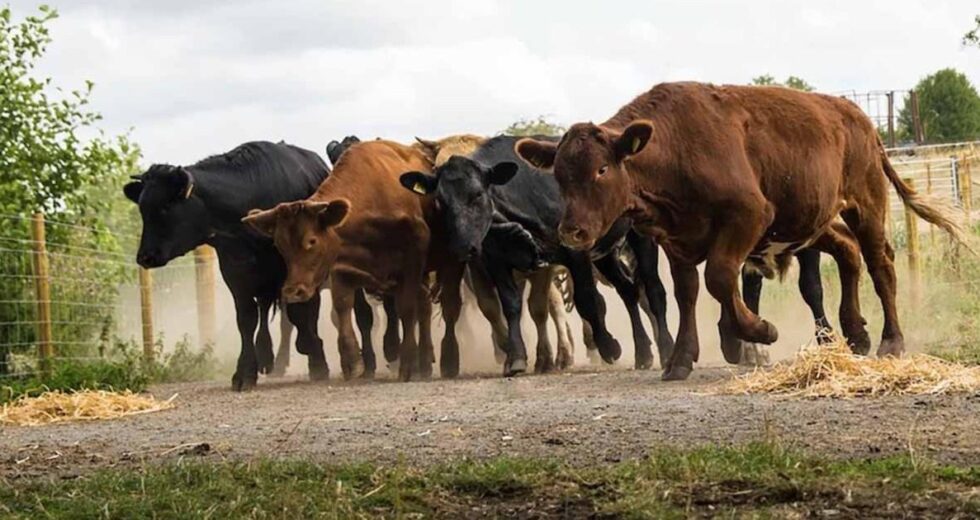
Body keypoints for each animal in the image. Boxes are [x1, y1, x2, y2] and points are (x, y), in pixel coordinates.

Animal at [124, 141, 330, 391]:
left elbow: (302, 314)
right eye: (142, 209)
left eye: (166, 206)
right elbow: (246, 320)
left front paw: (316, 358)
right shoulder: (235, 273)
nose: (145, 256)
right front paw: (245, 372)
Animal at [243, 139, 466, 381]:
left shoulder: (413, 258)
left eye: (312, 241)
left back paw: (446, 361)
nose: (293, 291)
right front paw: (352, 362)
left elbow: (406, 309)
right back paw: (424, 361)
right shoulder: (343, 265)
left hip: (450, 264)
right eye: (280, 245)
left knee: (448, 306)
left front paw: (407, 364)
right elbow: (343, 307)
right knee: (424, 304)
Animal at [400, 134, 675, 375]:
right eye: (440, 200)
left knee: (652, 290)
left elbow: (586, 300)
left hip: (640, 239)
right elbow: (510, 305)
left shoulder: (570, 256)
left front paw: (608, 346)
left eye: (478, 194)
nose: (463, 247)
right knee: (628, 290)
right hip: (605, 255)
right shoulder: (496, 260)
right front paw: (516, 358)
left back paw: (665, 349)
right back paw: (643, 352)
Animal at [516, 82, 965, 380]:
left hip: (866, 202)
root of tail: (856, 117)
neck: (675, 147)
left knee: (879, 263)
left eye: (602, 169)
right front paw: (682, 358)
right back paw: (855, 332)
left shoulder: (749, 215)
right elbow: (689, 293)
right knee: (848, 252)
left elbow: (719, 277)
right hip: (812, 221)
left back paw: (891, 341)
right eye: (559, 175)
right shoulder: (677, 240)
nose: (571, 231)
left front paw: (756, 331)